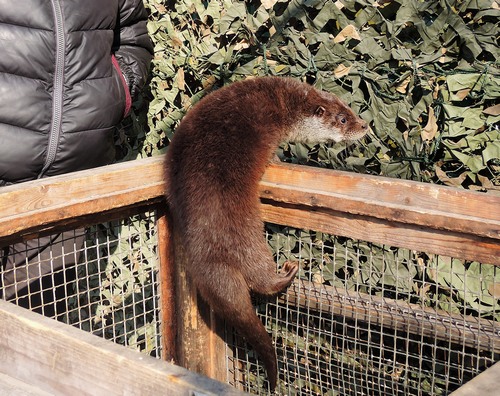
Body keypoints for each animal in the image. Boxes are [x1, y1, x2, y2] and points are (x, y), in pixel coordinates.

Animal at [164, 76, 368, 390]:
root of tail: (208, 256)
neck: (282, 102)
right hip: (248, 237)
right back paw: (286, 273)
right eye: (343, 119)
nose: (364, 125)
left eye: (349, 109)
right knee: (259, 275)